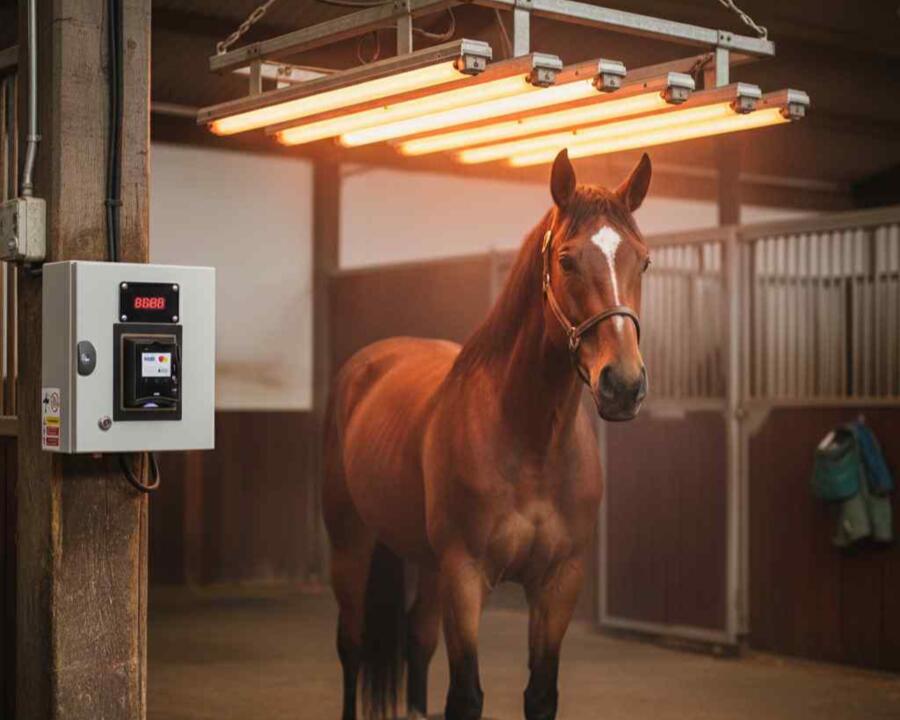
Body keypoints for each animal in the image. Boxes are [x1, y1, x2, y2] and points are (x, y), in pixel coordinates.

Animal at [322, 148, 651, 720]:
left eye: (644, 261)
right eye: (567, 260)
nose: (624, 385)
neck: (531, 441)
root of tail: (364, 365)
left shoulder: (558, 581)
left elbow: (541, 694)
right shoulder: (466, 574)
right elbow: (465, 696)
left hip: (427, 564)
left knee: (417, 642)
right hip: (351, 543)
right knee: (353, 645)